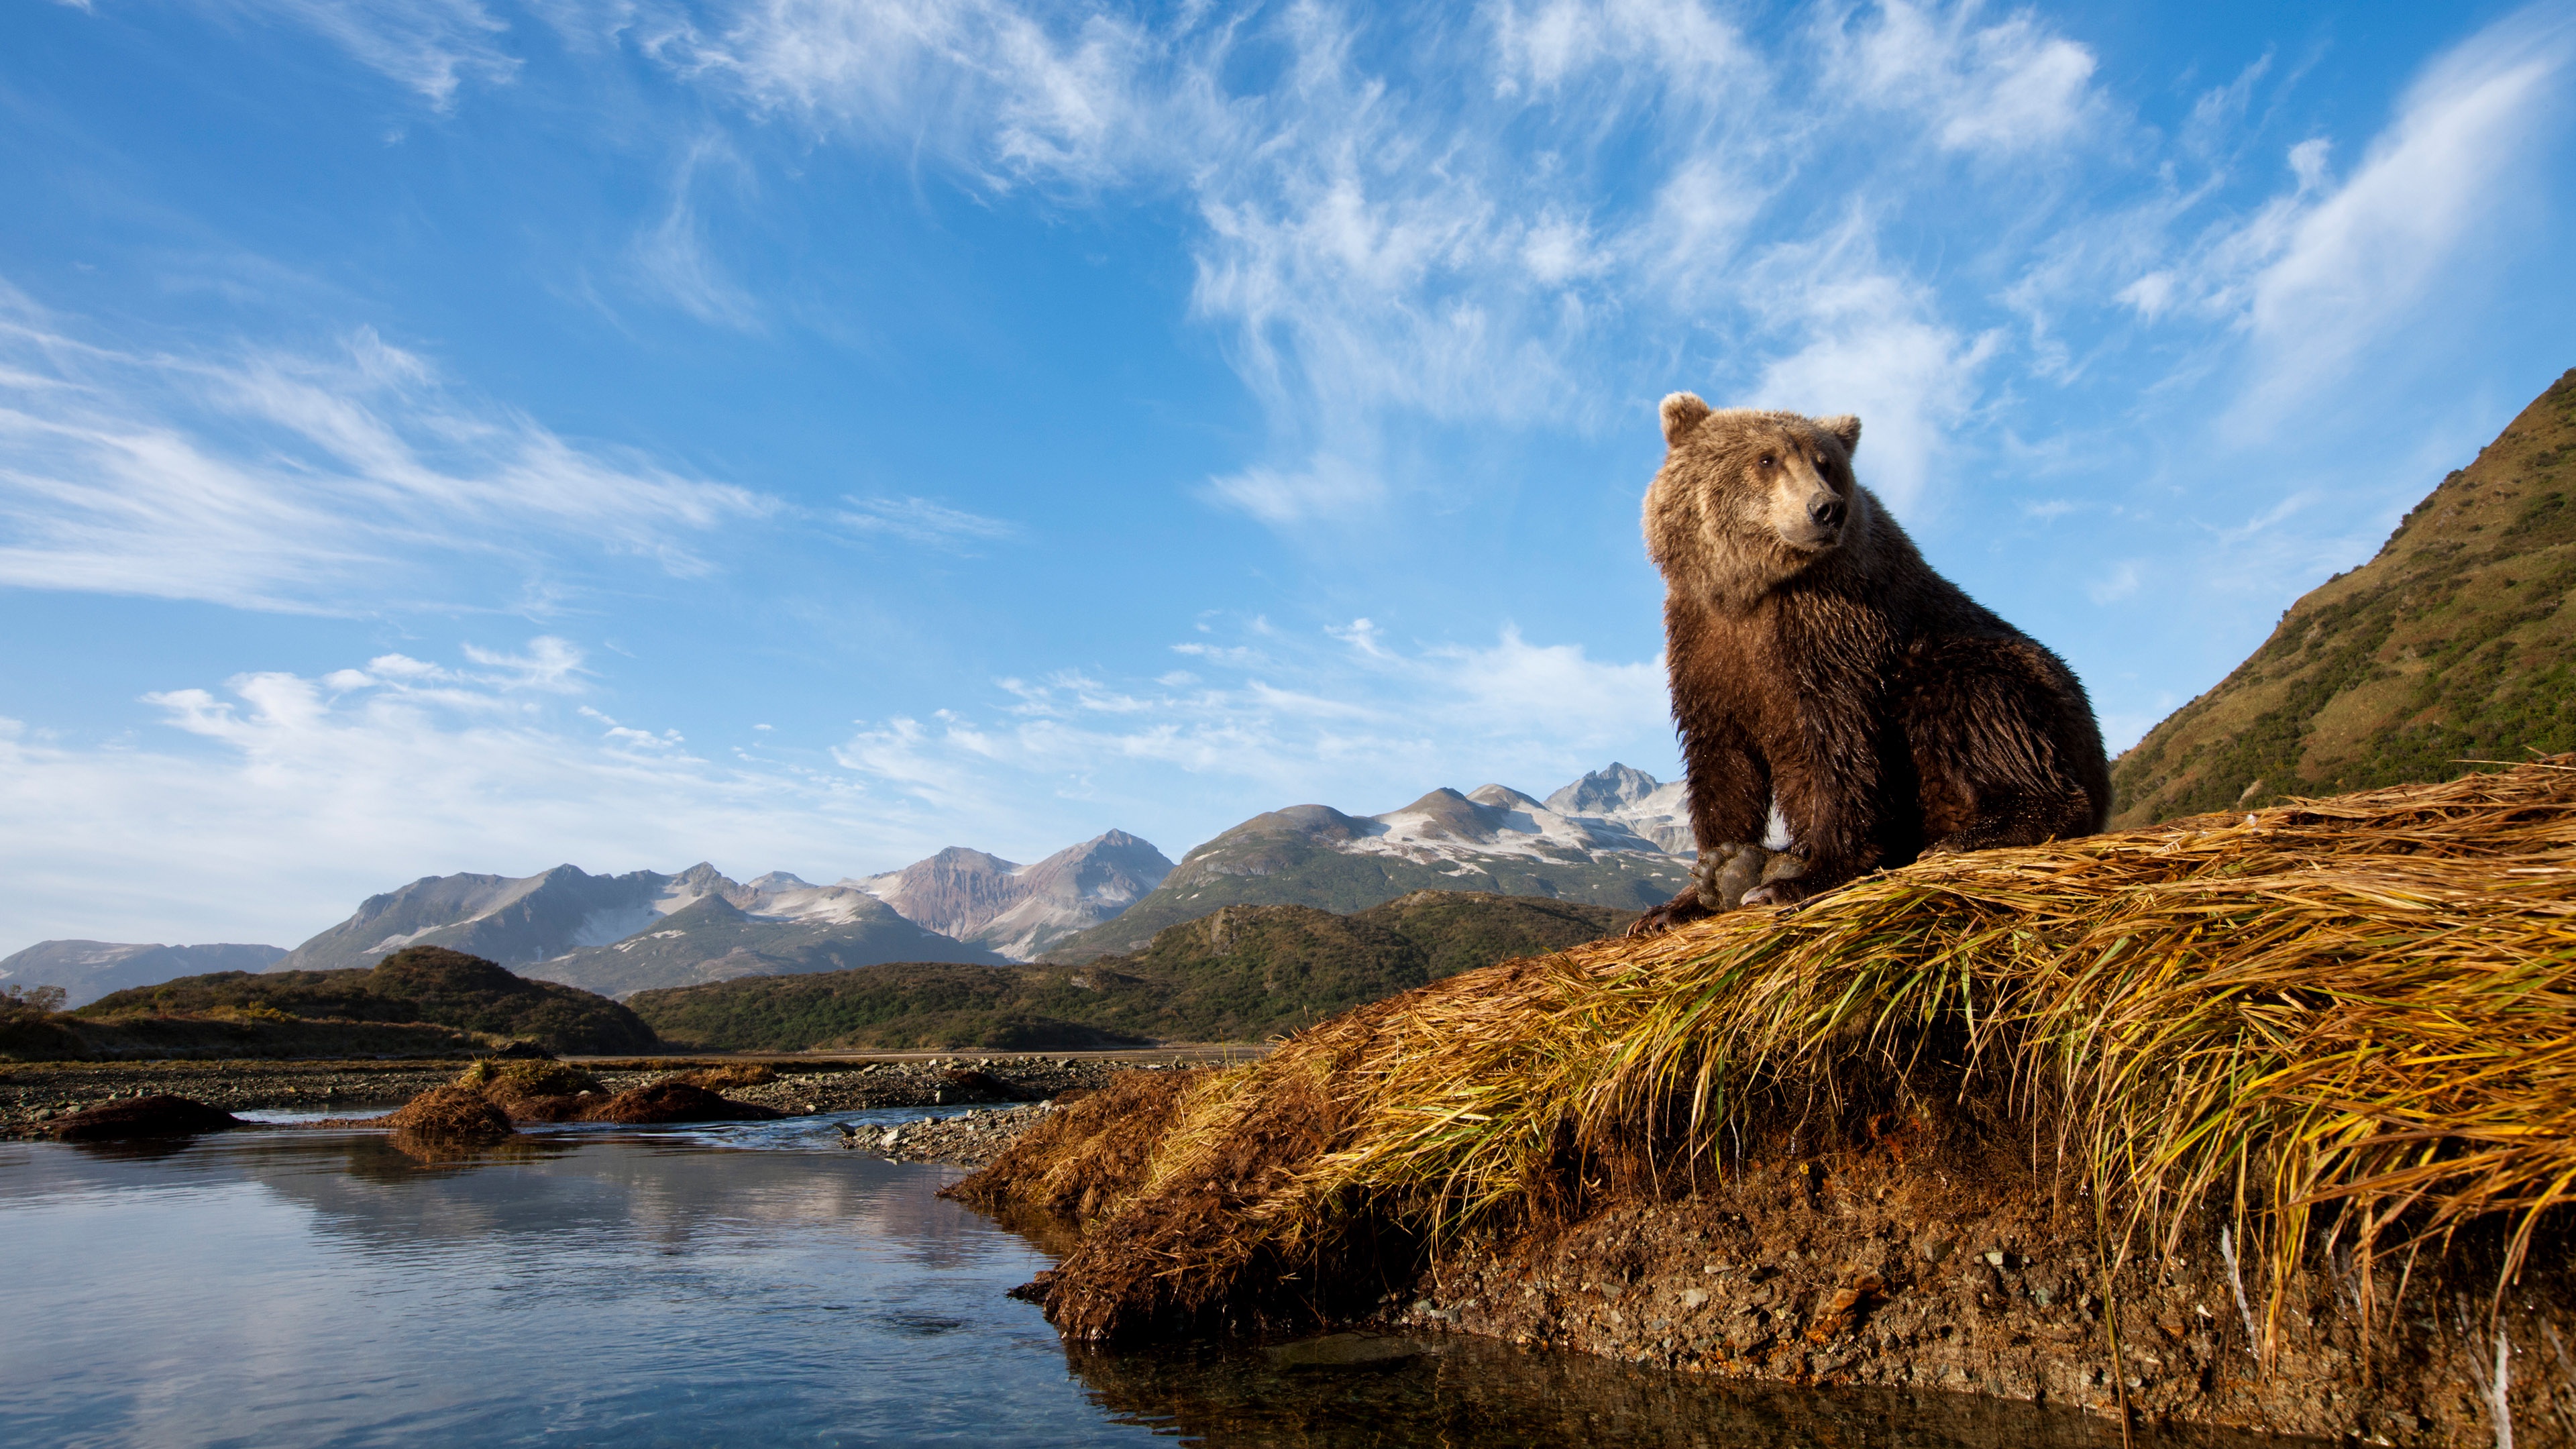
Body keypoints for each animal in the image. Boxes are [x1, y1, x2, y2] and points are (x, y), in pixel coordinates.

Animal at [1627, 392, 2112, 938]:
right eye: (1767, 459)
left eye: (1826, 463)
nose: (1826, 509)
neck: (1752, 592)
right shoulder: (1704, 645)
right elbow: (1721, 761)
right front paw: (1695, 888)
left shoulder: (1832, 630)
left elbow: (1839, 746)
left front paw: (1806, 877)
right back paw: (1750, 869)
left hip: (2011, 682)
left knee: (1971, 699)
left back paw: (1975, 834)